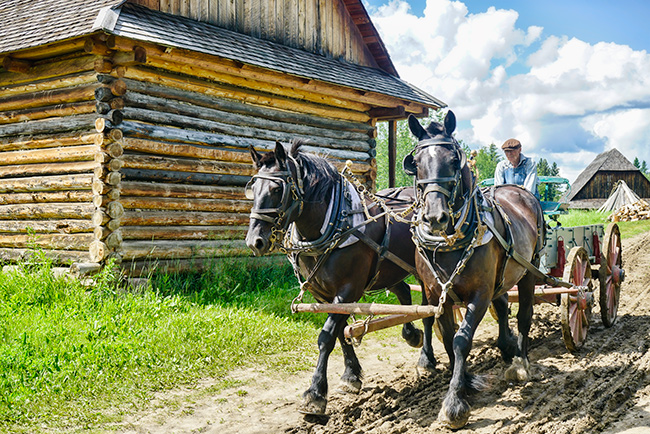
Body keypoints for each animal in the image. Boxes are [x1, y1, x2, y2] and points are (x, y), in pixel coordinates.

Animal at [246, 141, 422, 416]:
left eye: (277, 188)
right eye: (252, 189)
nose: (255, 242)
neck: (334, 221)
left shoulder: (348, 289)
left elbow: (326, 336)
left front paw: (315, 394)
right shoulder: (324, 294)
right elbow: (339, 332)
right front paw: (351, 376)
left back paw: (428, 359)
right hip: (390, 268)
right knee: (405, 293)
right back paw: (412, 335)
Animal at [408, 111, 544, 428]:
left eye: (453, 160)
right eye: (415, 163)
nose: (435, 218)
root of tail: (517, 190)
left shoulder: (479, 294)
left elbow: (461, 340)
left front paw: (455, 403)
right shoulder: (437, 295)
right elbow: (448, 338)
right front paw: (465, 382)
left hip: (529, 270)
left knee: (524, 315)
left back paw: (520, 362)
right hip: (502, 277)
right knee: (504, 305)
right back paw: (506, 347)